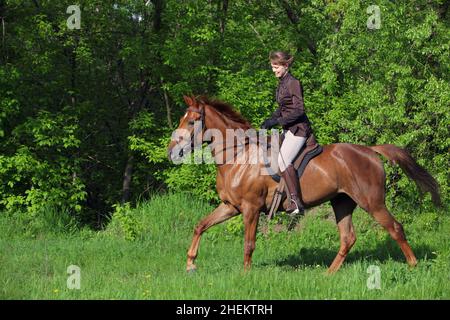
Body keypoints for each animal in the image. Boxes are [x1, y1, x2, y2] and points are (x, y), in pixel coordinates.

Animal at [167, 95, 442, 272]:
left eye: (191, 122)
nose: (171, 152)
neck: (238, 155)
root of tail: (370, 151)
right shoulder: (230, 207)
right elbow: (200, 226)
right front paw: (190, 264)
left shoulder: (251, 209)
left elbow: (248, 243)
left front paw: (245, 275)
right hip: (342, 202)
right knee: (348, 238)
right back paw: (328, 274)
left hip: (372, 202)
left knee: (395, 228)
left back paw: (413, 266)